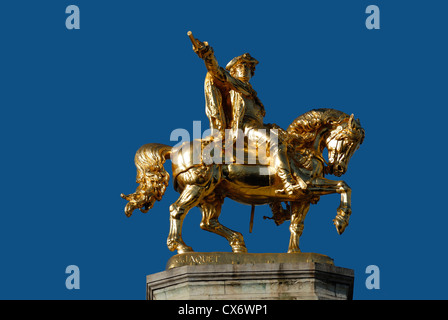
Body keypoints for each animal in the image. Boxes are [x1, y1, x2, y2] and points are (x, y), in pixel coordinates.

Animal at [121, 109, 364, 254]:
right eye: (347, 140)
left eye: (356, 145)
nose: (339, 168)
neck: (301, 150)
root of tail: (173, 149)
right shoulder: (308, 185)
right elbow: (344, 186)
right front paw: (341, 221)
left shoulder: (303, 198)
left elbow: (297, 226)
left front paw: (294, 254)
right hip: (198, 185)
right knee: (177, 210)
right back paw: (181, 247)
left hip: (212, 194)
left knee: (208, 222)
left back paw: (237, 243)